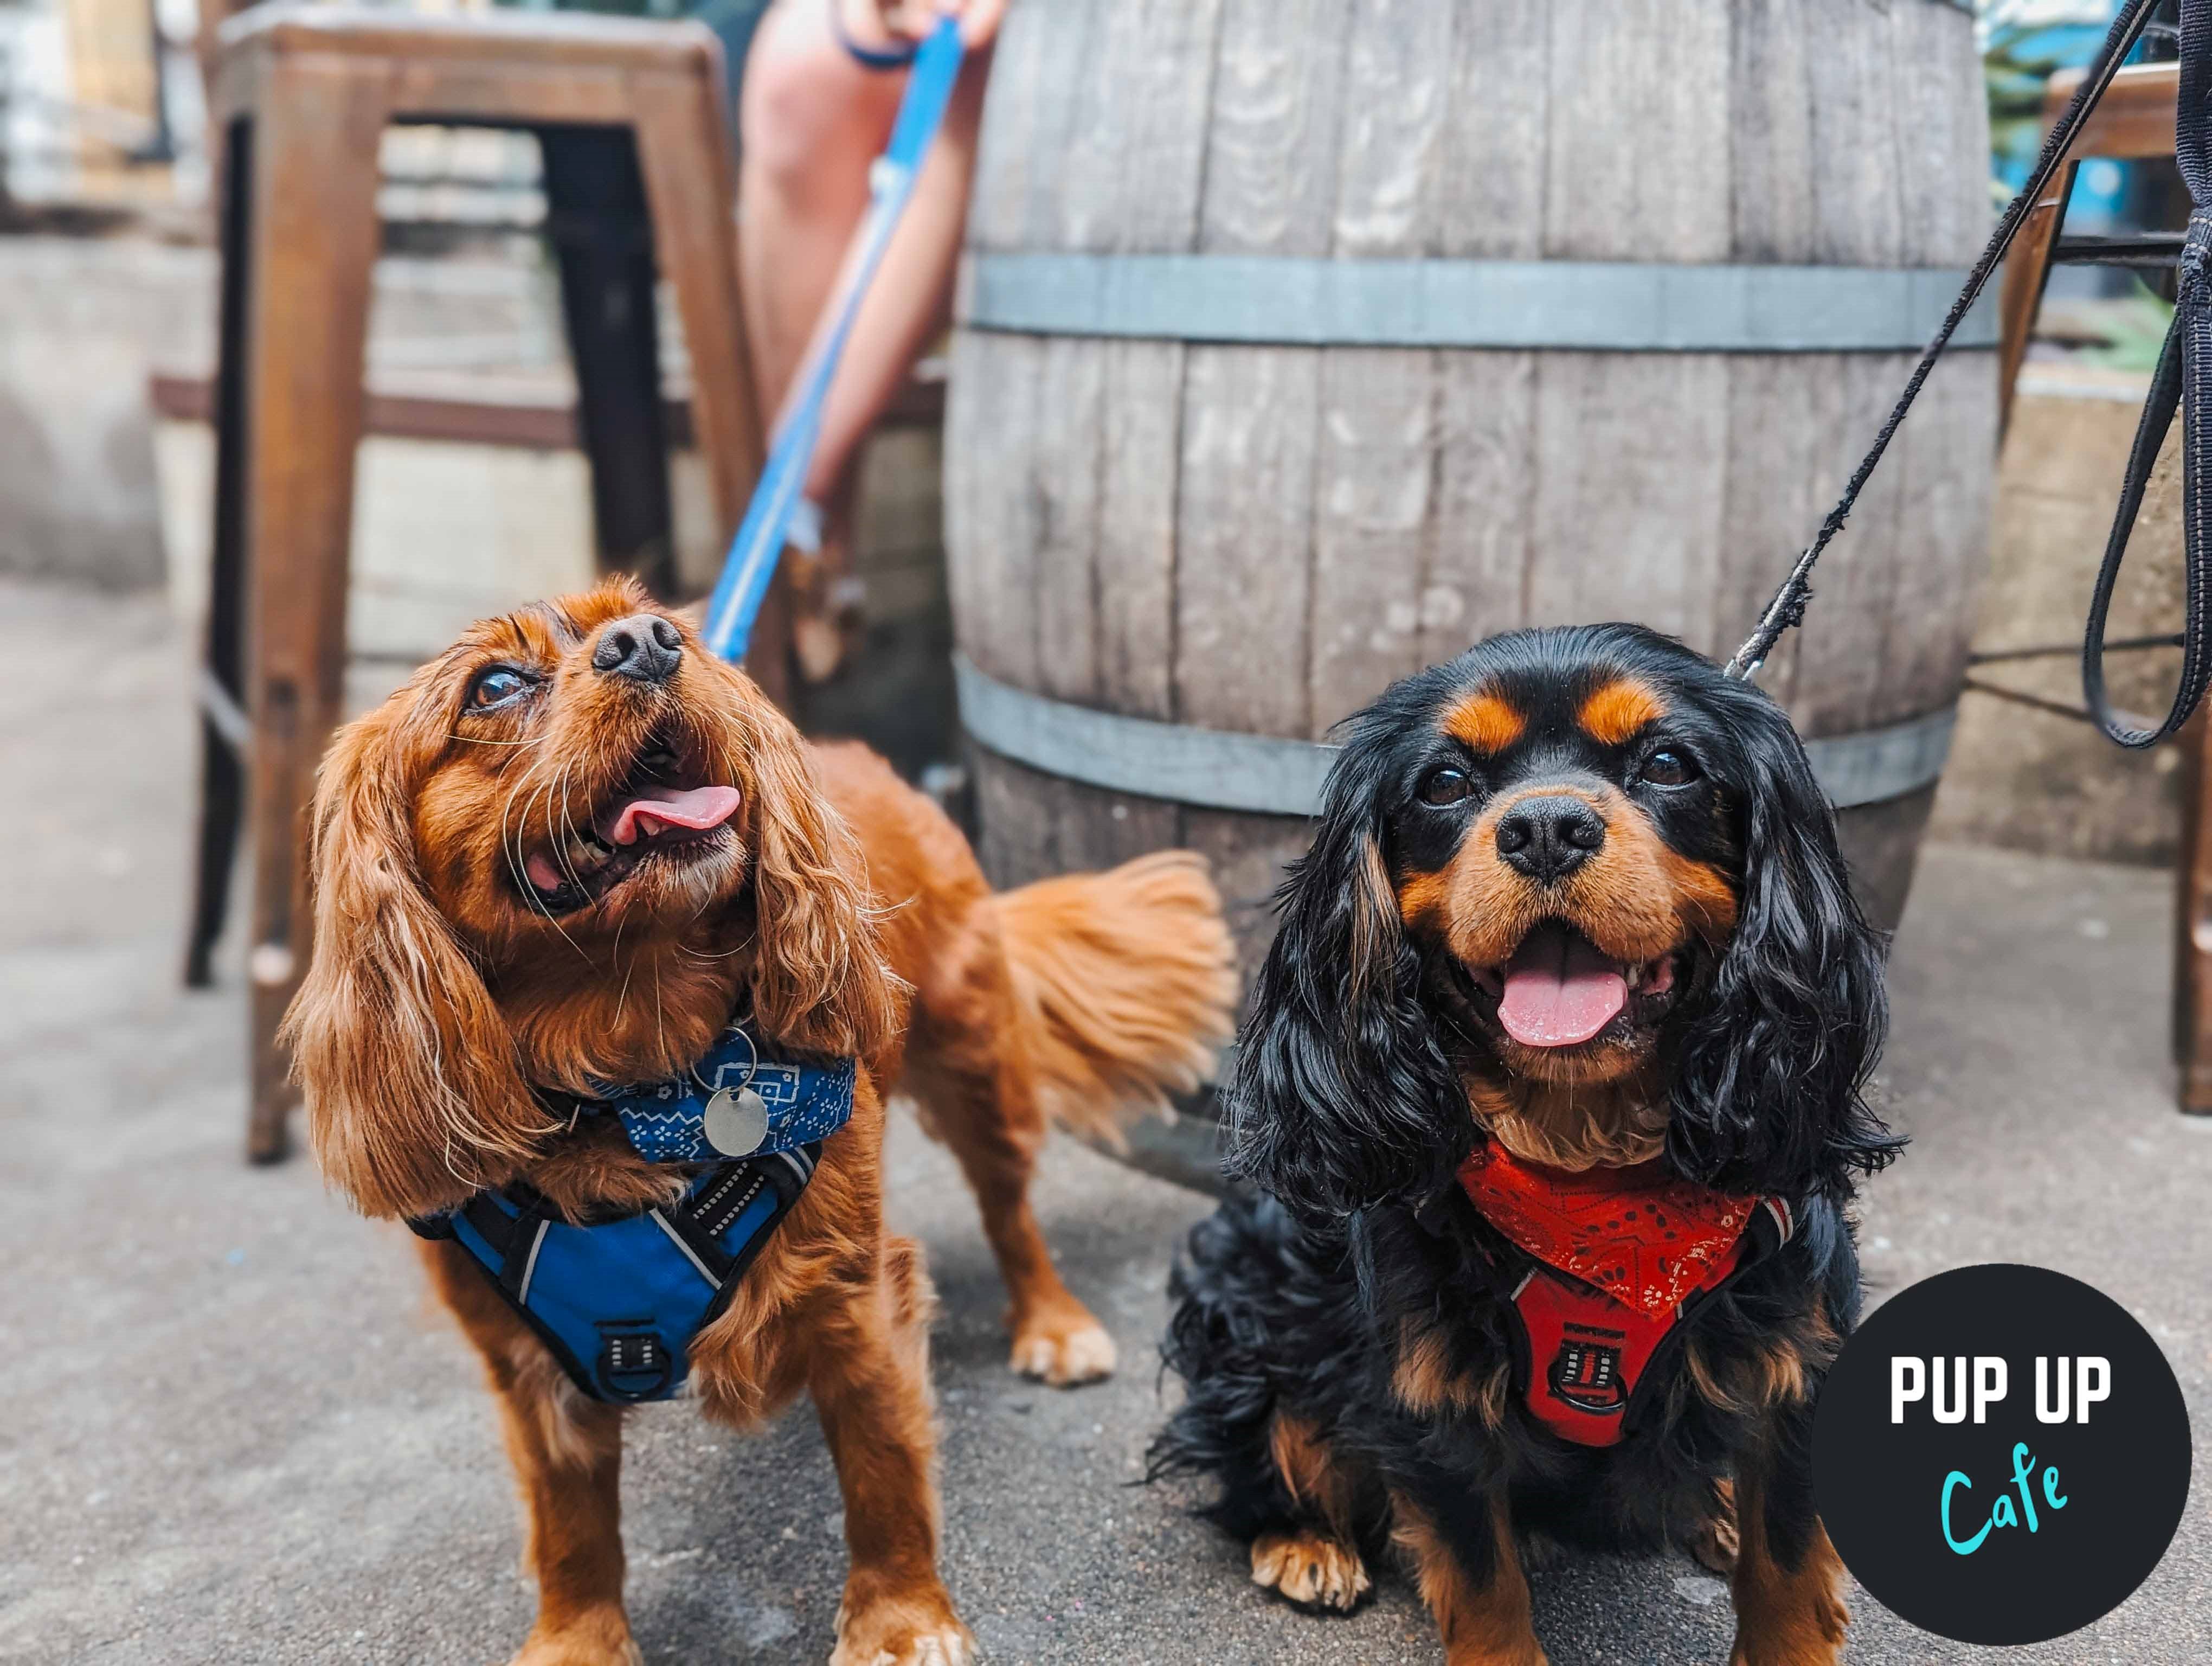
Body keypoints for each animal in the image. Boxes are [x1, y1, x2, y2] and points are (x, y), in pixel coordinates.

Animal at [283, 579, 1238, 1655]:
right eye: (492, 685)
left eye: (667, 626)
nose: (650, 644)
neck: (637, 1071)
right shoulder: (531, 1375)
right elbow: (570, 1530)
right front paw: (576, 1642)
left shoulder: (855, 1300)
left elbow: (882, 1474)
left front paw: (901, 1624)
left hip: (977, 1064)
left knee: (1011, 1211)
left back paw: (1053, 1322)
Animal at [1150, 624, 1893, 1663]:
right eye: (1445, 783)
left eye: (1669, 764)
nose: (1546, 827)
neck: (1594, 1174)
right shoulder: (1432, 1391)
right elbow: (1482, 1579)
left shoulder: (1799, 1352)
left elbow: (1785, 1566)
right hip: (1249, 1303)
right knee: (1261, 1445)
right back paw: (1305, 1541)